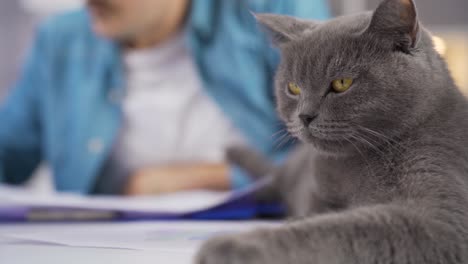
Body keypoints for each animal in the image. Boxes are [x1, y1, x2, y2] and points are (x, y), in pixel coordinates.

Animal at [196, 0, 468, 262]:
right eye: (293, 88)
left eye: (341, 83)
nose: (305, 115)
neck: (347, 168)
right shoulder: (317, 193)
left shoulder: (441, 217)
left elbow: (338, 228)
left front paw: (230, 245)